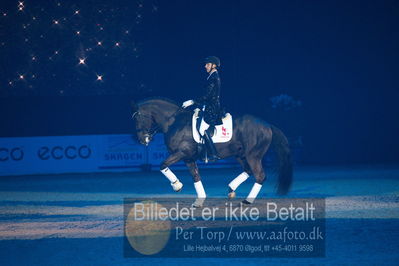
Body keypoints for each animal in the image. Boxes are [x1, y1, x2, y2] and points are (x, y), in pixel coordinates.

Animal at [133, 97, 292, 206]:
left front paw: (177, 186)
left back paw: (247, 201)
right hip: (240, 155)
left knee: (260, 176)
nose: (142, 140)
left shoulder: (181, 153)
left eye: (138, 118)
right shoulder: (188, 158)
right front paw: (199, 201)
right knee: (248, 171)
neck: (174, 122)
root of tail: (267, 124)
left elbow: (162, 165)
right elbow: (196, 176)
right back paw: (231, 189)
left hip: (253, 156)